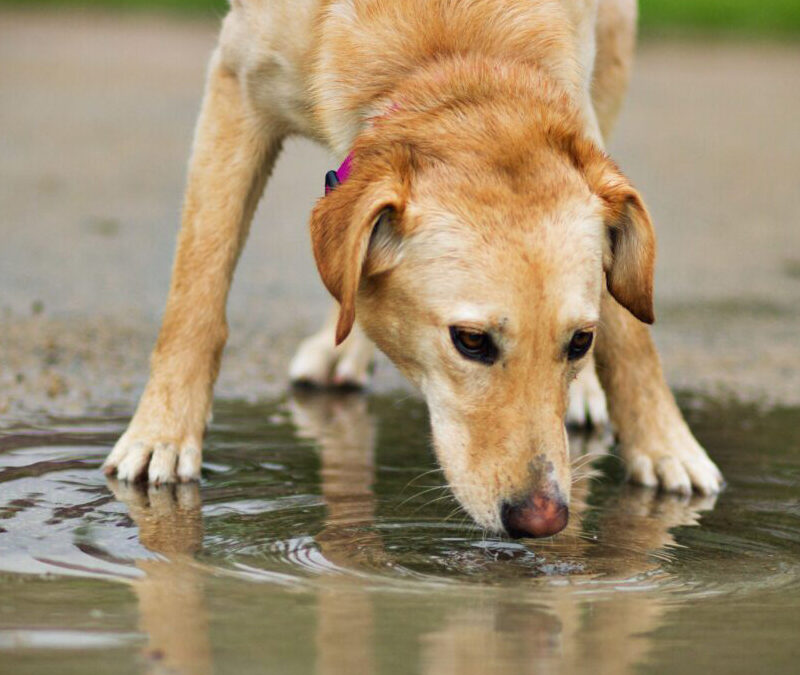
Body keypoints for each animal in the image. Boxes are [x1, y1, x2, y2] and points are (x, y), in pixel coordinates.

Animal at [103, 0, 720, 540]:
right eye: (470, 341)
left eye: (579, 341)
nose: (542, 520)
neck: (457, 57)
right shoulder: (236, 85)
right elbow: (198, 286)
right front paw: (161, 433)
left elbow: (630, 331)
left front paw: (664, 443)